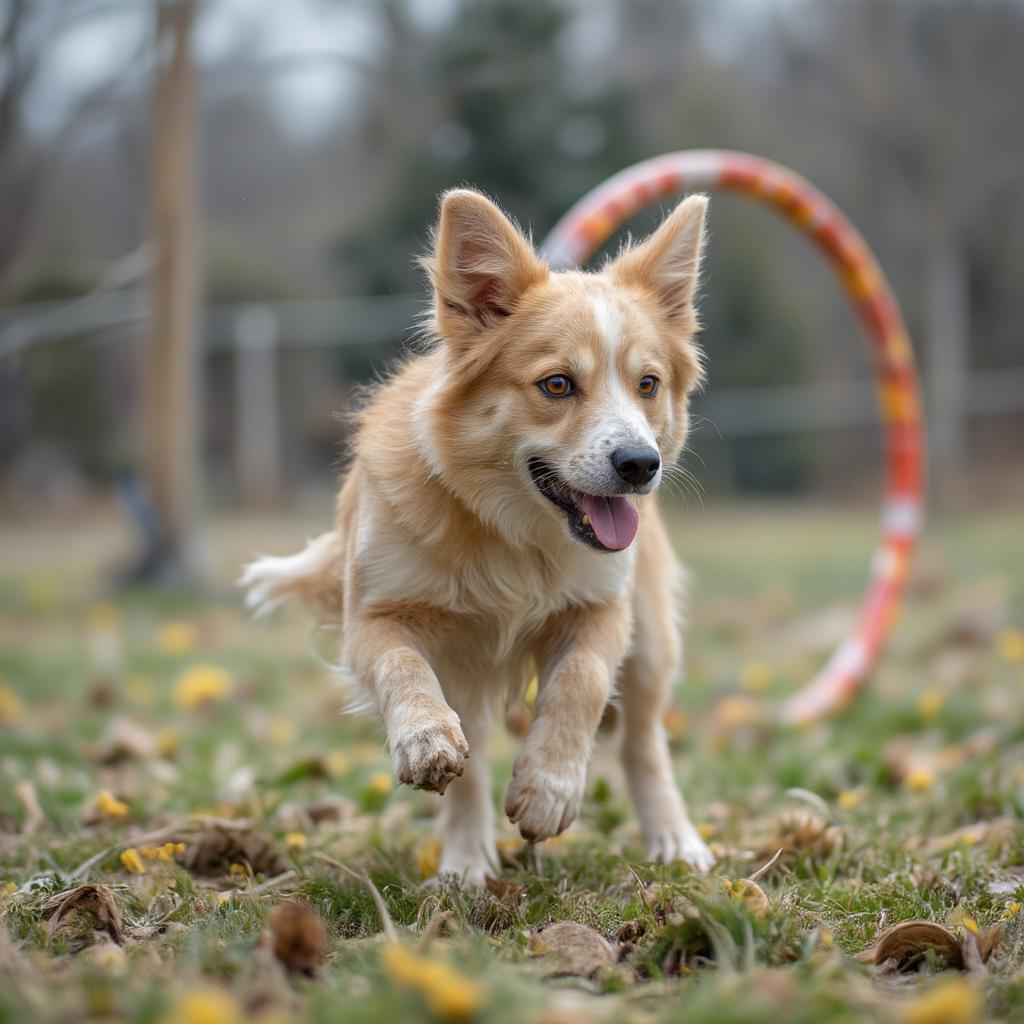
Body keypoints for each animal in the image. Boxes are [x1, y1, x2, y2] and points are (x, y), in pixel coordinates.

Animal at [242, 186, 716, 888]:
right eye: (557, 384)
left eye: (648, 384)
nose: (639, 465)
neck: (512, 533)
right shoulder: (375, 618)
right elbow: (403, 667)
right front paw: (425, 740)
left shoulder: (605, 610)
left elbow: (581, 683)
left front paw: (549, 789)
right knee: (472, 759)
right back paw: (466, 866)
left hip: (653, 638)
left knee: (642, 742)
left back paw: (675, 838)